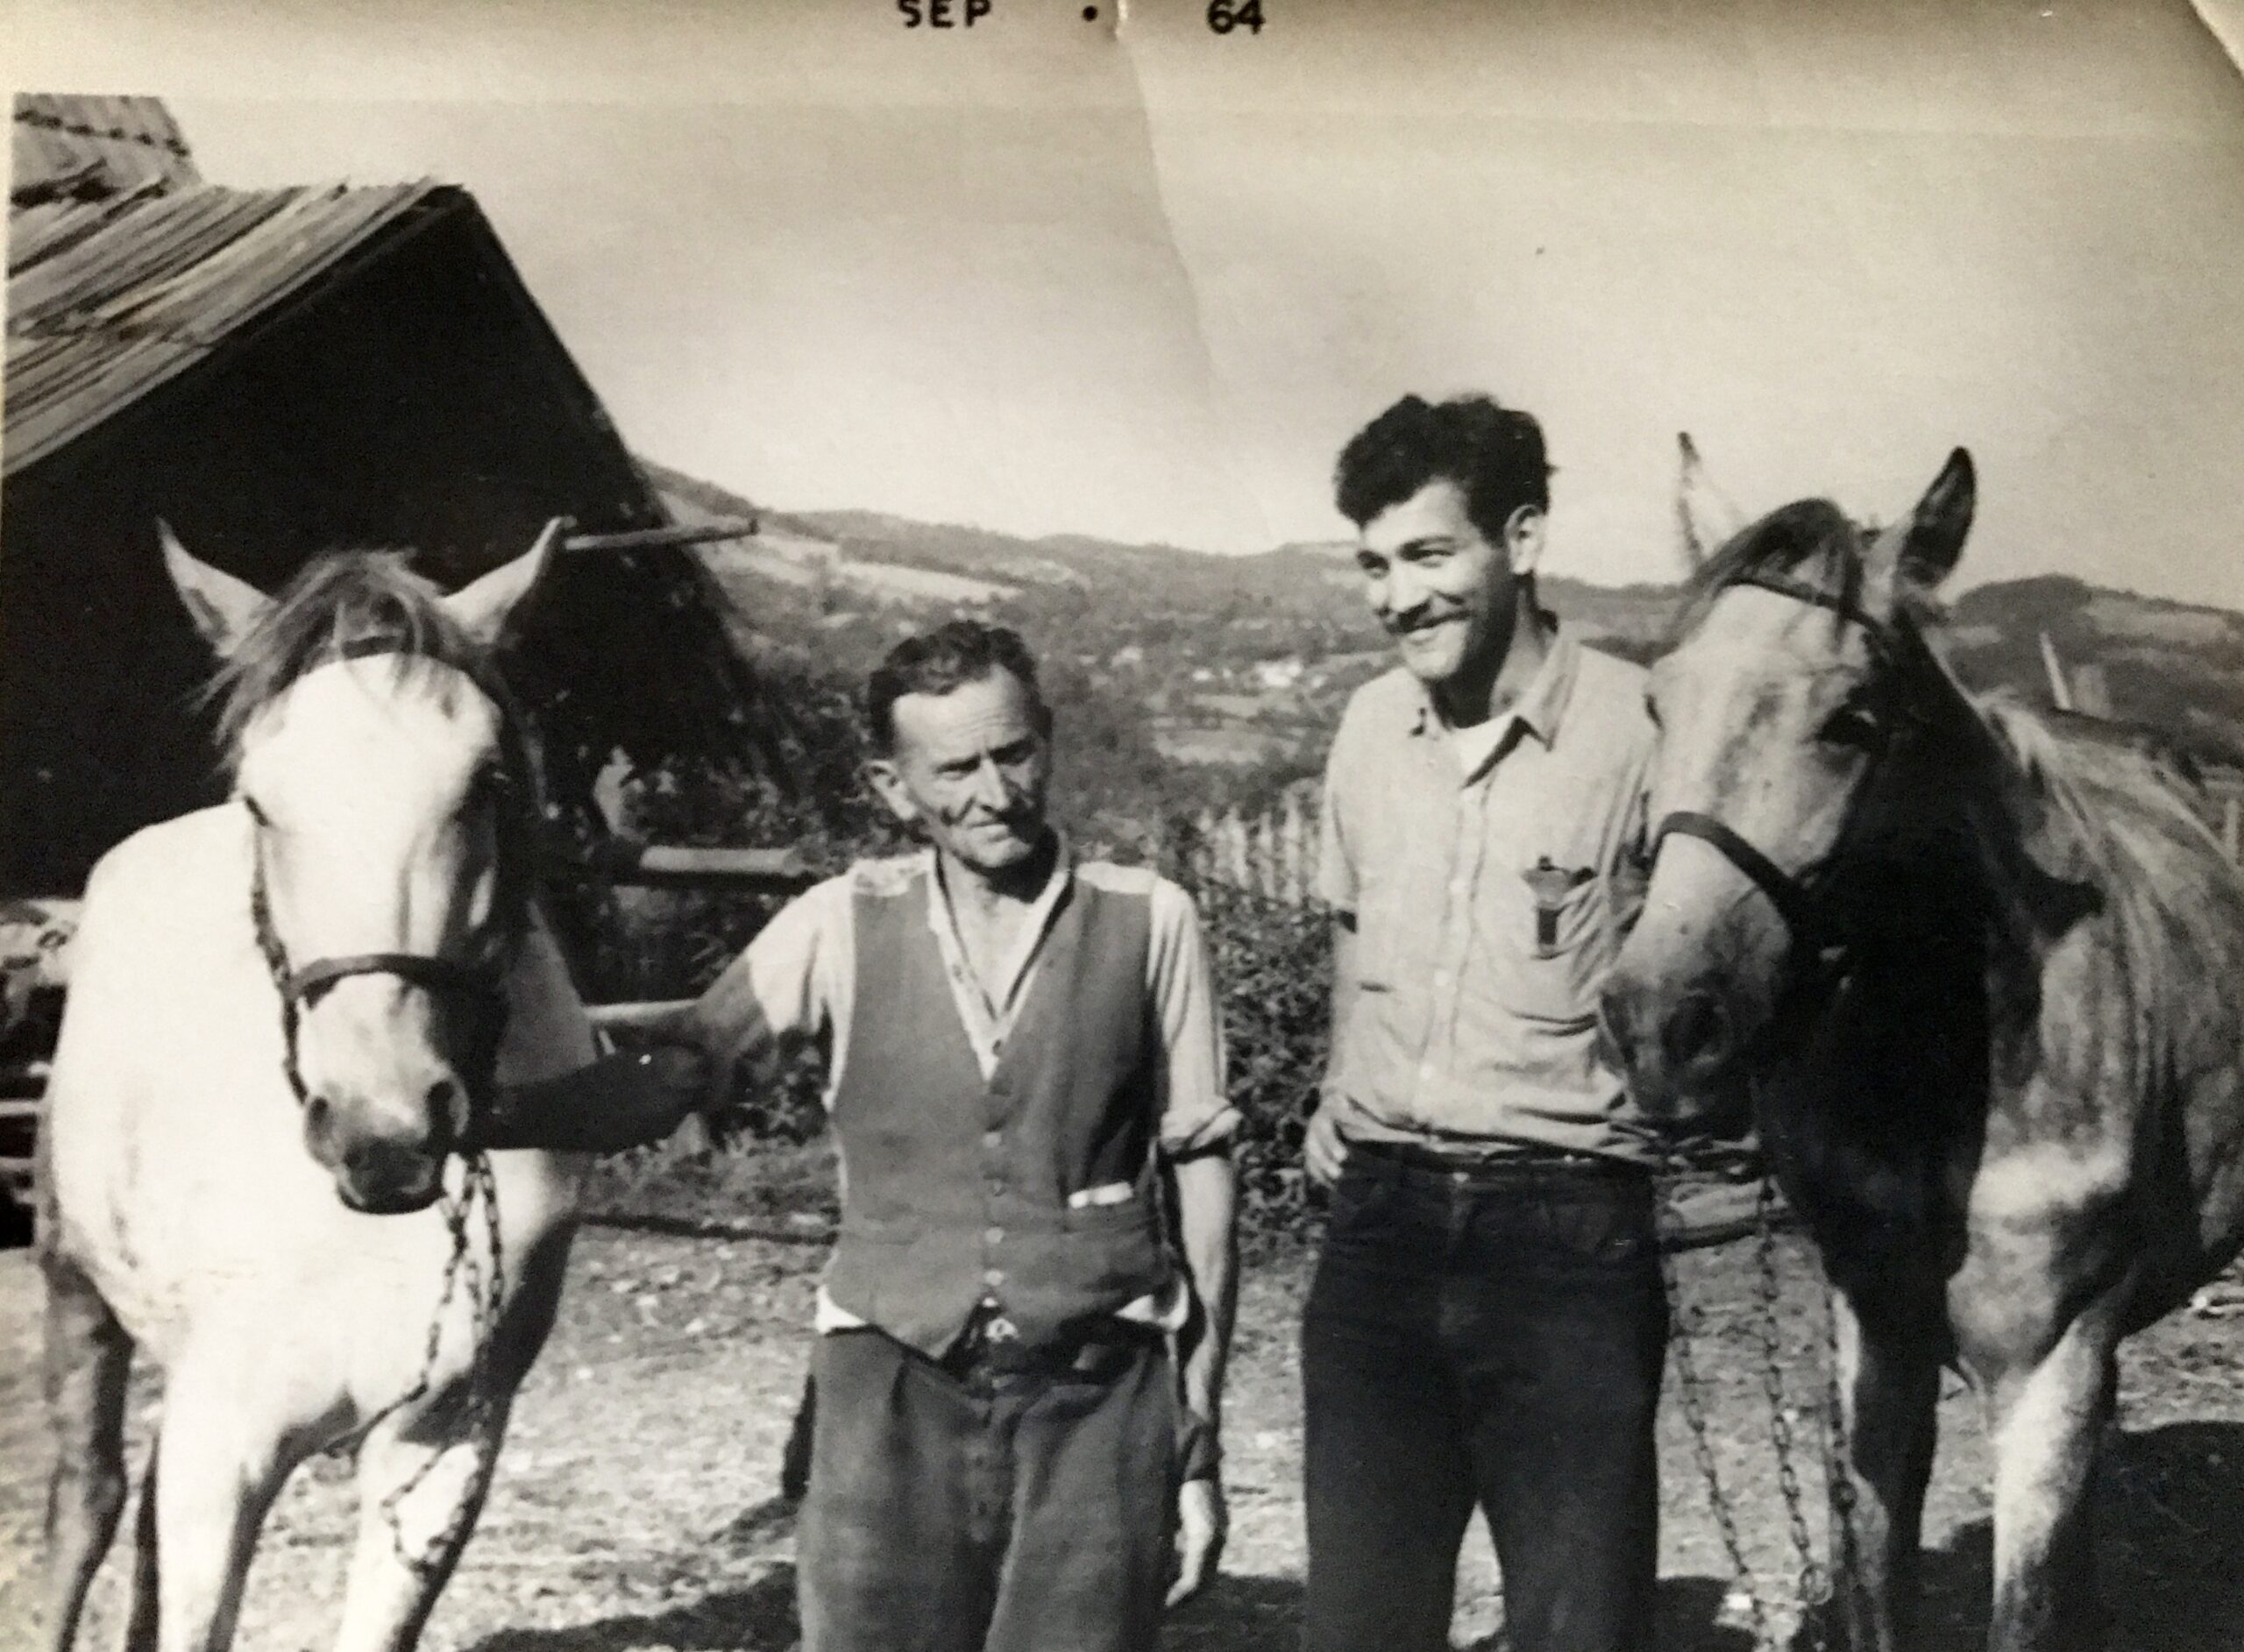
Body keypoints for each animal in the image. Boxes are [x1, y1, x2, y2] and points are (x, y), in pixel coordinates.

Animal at [38, 525, 596, 1652]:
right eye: (260, 800)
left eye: (487, 783)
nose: (383, 1131)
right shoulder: (225, 1442)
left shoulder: (445, 1444)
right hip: (77, 1280)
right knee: (88, 1502)